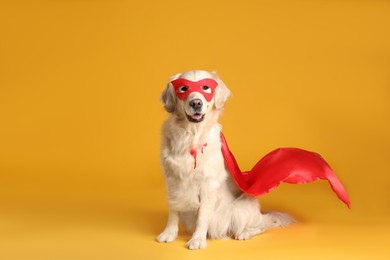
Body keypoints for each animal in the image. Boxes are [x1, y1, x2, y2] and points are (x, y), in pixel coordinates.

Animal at [155, 70, 292, 249]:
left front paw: (197, 239)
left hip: (240, 208)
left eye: (205, 87)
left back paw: (245, 233)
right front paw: (169, 233)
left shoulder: (208, 183)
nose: (196, 103)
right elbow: (173, 209)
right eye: (183, 88)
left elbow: (202, 216)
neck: (191, 135)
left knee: (261, 226)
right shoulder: (172, 179)